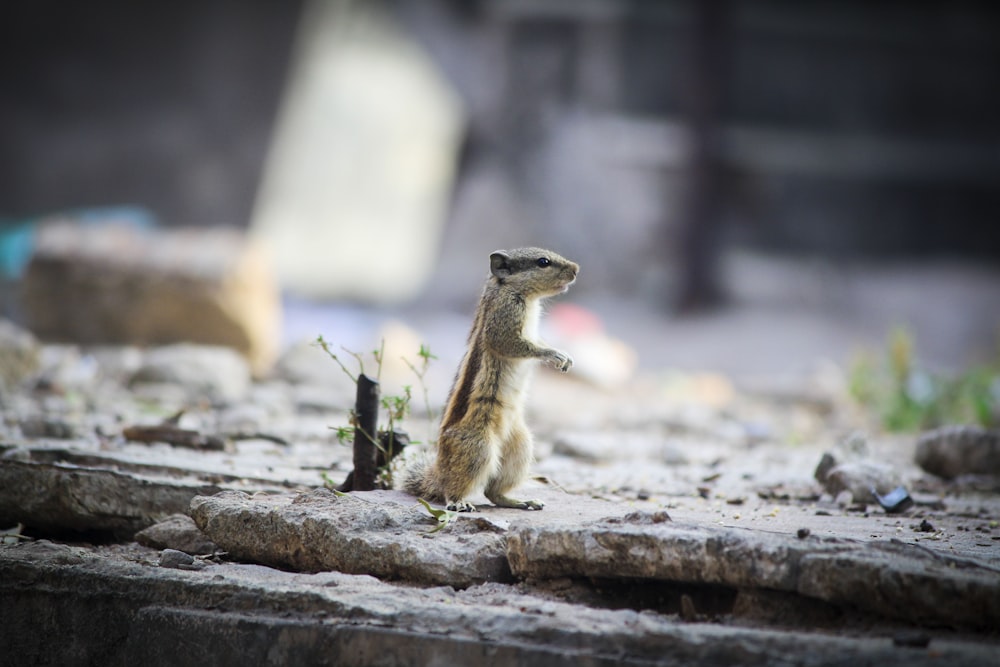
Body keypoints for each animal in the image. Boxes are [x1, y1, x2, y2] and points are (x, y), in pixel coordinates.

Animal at [402, 248, 584, 516]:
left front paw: (566, 356)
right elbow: (514, 344)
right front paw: (555, 354)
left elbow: (538, 340)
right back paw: (459, 502)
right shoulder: (503, 318)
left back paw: (521, 501)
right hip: (479, 449)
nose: (576, 269)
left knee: (493, 492)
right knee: (453, 488)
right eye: (543, 262)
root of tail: (437, 472)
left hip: (521, 447)